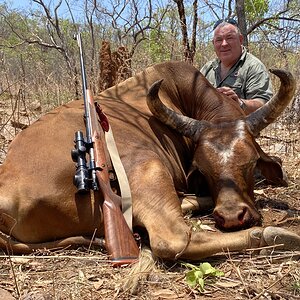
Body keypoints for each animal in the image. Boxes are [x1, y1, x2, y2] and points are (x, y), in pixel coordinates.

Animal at [0, 61, 300, 260]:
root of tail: (8, 194)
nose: (231, 215)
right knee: (173, 239)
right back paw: (279, 235)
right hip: (146, 165)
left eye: (250, 162)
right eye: (203, 169)